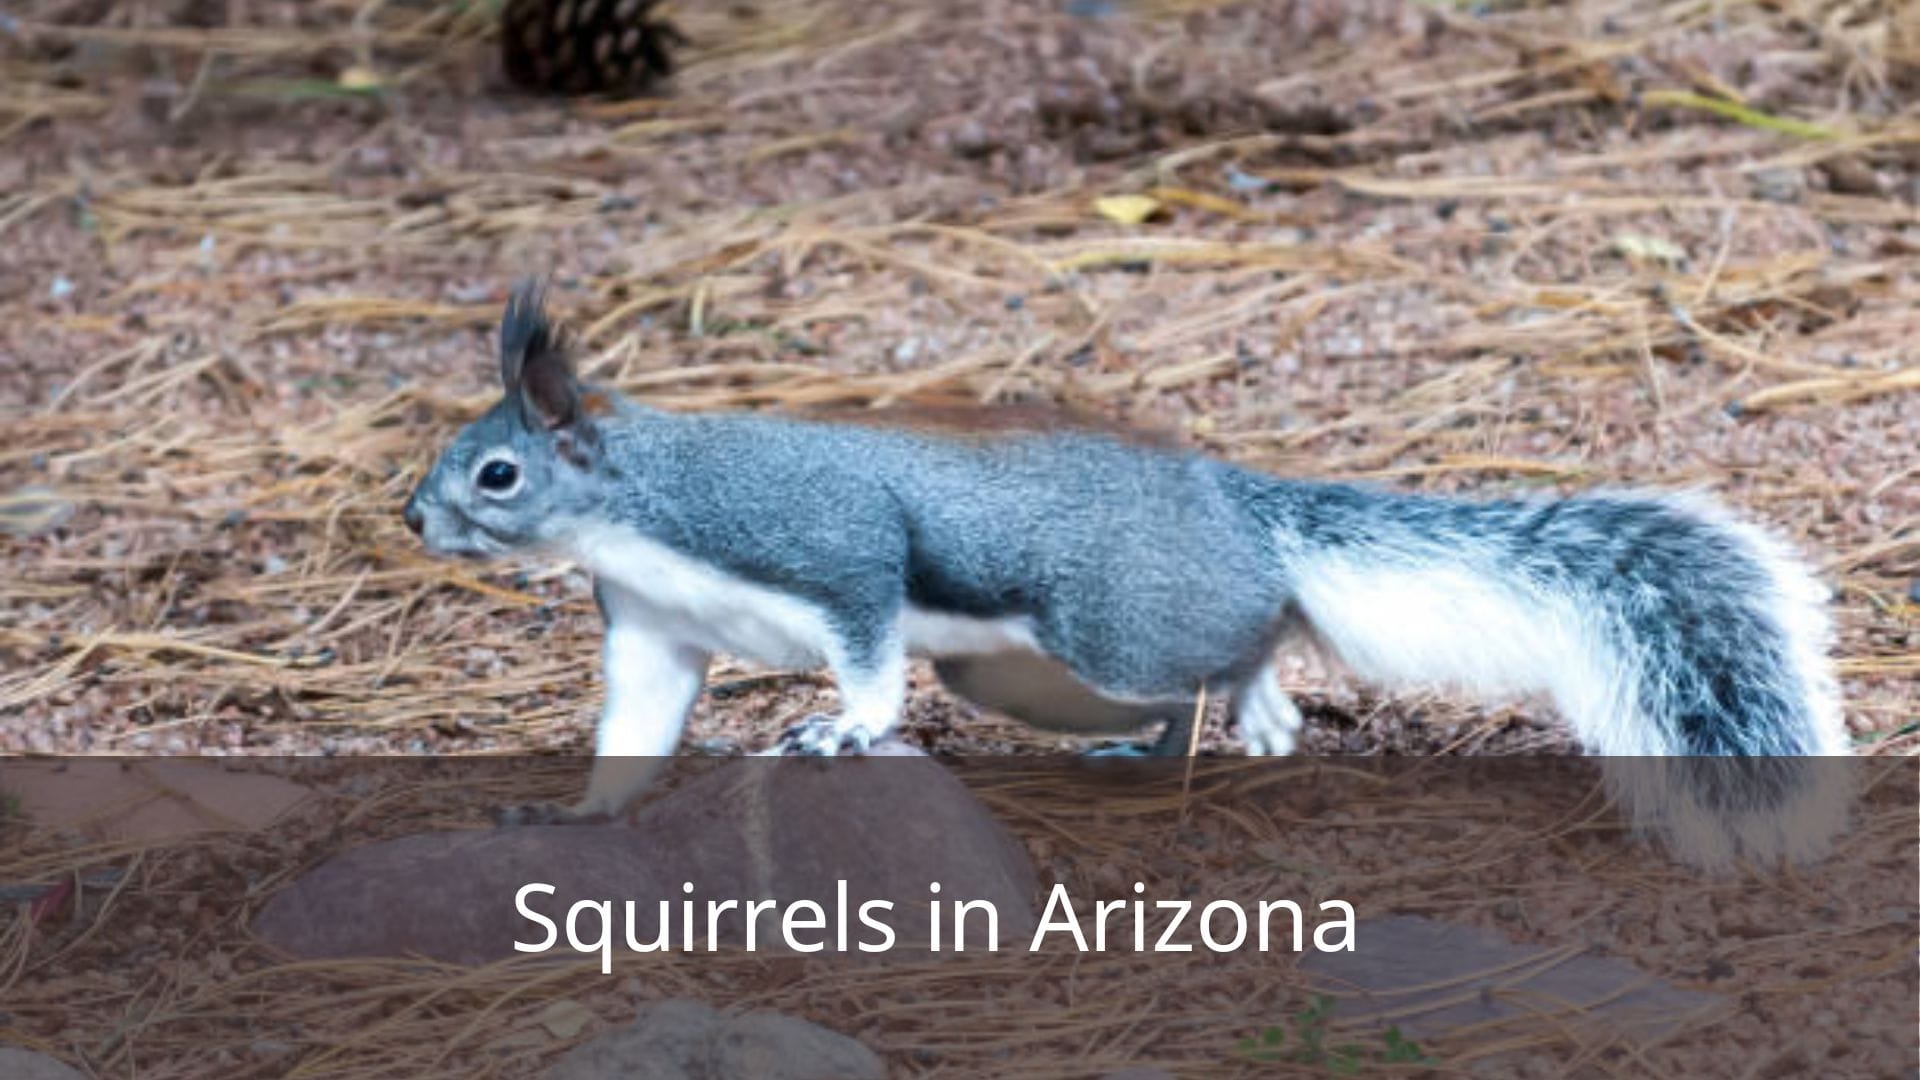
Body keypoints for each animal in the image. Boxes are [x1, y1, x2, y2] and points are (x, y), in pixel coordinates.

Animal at [403, 281, 1851, 866]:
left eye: (498, 474)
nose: (413, 516)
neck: (633, 511)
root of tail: (1230, 503)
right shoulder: (651, 628)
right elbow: (635, 732)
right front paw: (572, 817)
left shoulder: (828, 542)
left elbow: (864, 648)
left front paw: (841, 730)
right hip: (1022, 670)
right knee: (1243, 654)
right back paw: (1239, 730)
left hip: (1106, 622)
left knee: (1233, 643)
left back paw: (1220, 723)